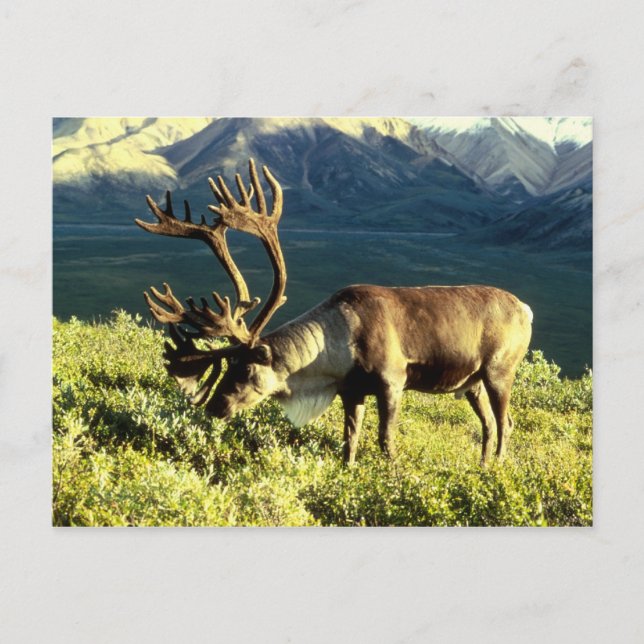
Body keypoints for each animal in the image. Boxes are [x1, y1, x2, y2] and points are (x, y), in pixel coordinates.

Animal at [135, 159, 533, 465]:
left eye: (245, 369)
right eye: (227, 365)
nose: (215, 407)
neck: (336, 347)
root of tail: (526, 308)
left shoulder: (393, 380)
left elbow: (386, 441)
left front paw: (393, 477)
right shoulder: (351, 391)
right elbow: (349, 440)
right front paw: (348, 472)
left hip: (499, 371)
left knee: (506, 423)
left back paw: (497, 470)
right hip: (472, 382)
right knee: (489, 424)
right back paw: (481, 468)